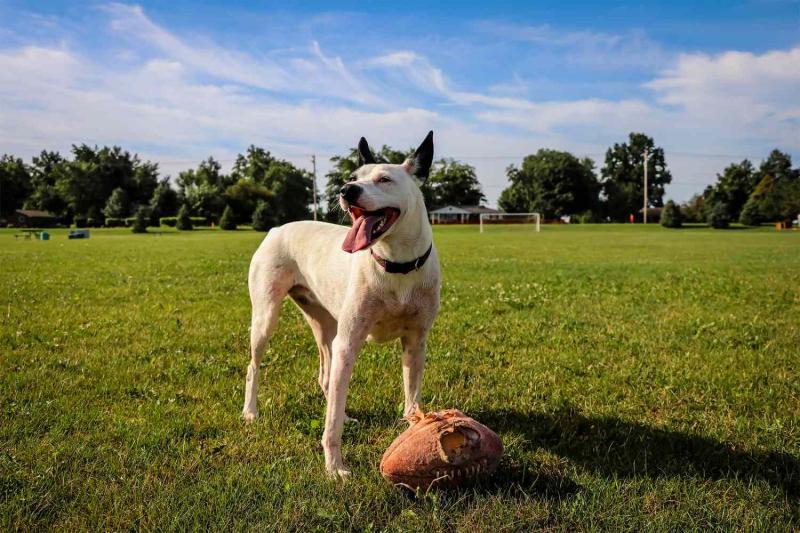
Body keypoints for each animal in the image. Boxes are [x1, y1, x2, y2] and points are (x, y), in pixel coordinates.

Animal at [244, 131, 444, 476]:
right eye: (352, 178)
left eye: (384, 179)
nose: (347, 191)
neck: (395, 266)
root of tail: (277, 228)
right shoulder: (349, 342)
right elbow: (331, 423)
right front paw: (334, 466)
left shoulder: (416, 343)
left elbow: (412, 398)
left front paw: (414, 431)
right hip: (267, 317)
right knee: (254, 367)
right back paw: (251, 411)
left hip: (327, 326)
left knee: (327, 378)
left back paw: (347, 415)